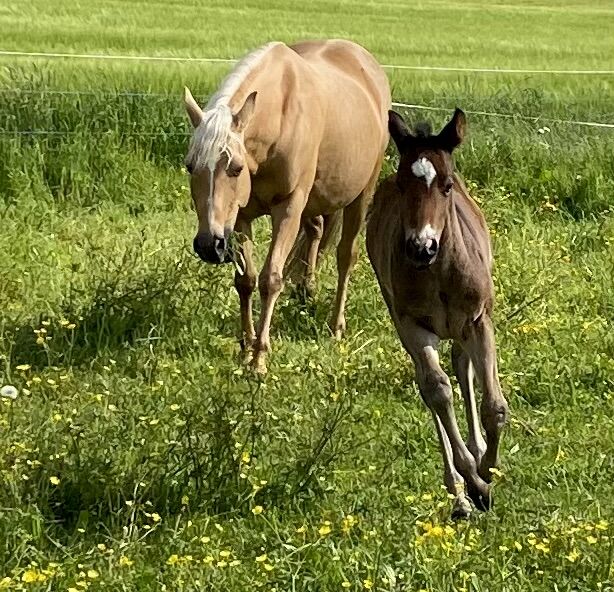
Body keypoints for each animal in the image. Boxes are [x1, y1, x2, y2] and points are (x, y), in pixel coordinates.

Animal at [185, 40, 392, 374]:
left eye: (236, 168)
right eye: (190, 166)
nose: (209, 245)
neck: (279, 119)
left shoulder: (288, 209)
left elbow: (271, 279)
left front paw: (259, 359)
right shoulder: (240, 217)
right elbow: (246, 280)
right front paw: (246, 348)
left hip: (362, 194)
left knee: (345, 256)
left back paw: (336, 326)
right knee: (316, 231)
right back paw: (307, 291)